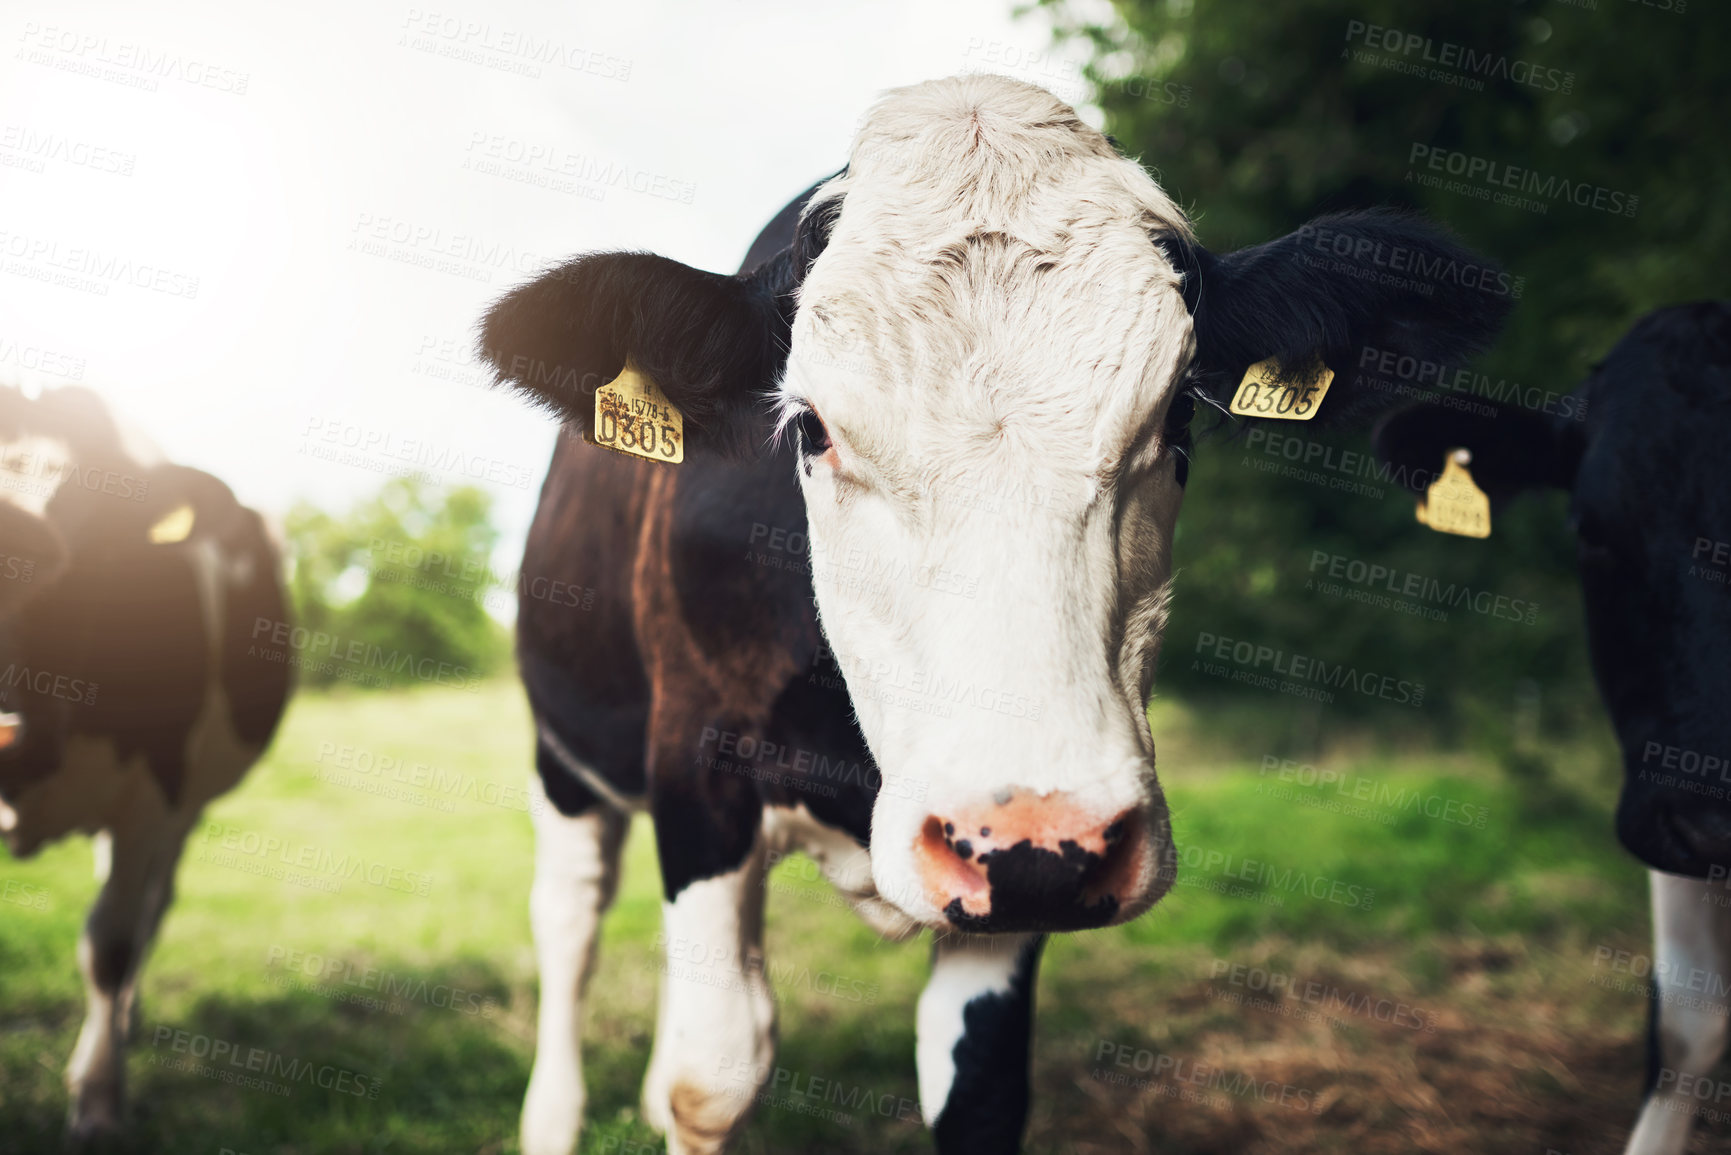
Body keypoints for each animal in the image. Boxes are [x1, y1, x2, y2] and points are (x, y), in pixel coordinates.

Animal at [0, 386, 292, 1135]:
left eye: (108, 535)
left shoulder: (152, 795)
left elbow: (110, 945)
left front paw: (98, 1099)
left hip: (186, 807)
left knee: (152, 908)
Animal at [481, 74, 1509, 1155]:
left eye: (1178, 414)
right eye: (809, 427)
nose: (1036, 833)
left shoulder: (1024, 863)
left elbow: (975, 1086)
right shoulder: (697, 764)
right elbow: (711, 1076)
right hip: (564, 754)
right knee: (570, 918)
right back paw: (551, 1117)